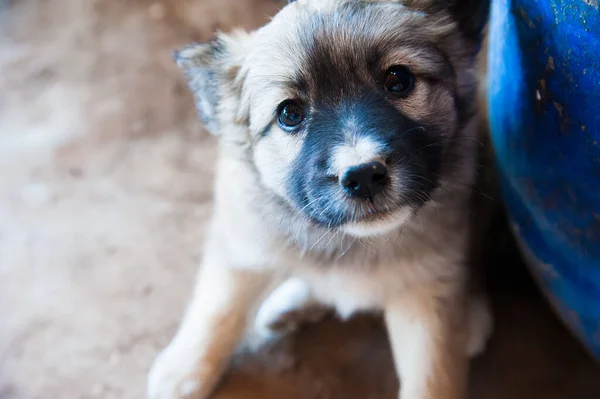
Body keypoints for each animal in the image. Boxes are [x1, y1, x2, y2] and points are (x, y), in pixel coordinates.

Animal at [149, 1, 492, 398]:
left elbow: (432, 378)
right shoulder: (242, 239)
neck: (350, 240)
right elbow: (216, 305)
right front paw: (182, 370)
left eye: (399, 80)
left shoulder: (426, 294)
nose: (363, 175)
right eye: (289, 114)